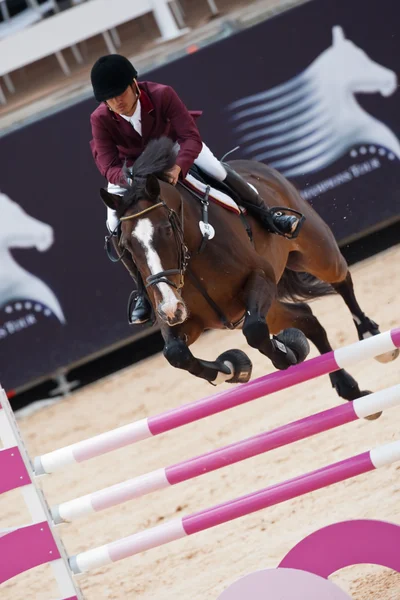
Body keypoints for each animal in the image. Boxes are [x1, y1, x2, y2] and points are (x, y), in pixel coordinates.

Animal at [99, 137, 396, 410]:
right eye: (126, 245)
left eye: (167, 230)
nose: (171, 307)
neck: (192, 260)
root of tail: (257, 167)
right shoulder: (184, 317)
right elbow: (176, 353)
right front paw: (233, 368)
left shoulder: (259, 278)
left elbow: (254, 331)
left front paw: (286, 353)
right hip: (266, 308)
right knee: (307, 318)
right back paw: (348, 388)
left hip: (316, 252)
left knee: (341, 280)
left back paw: (370, 336)